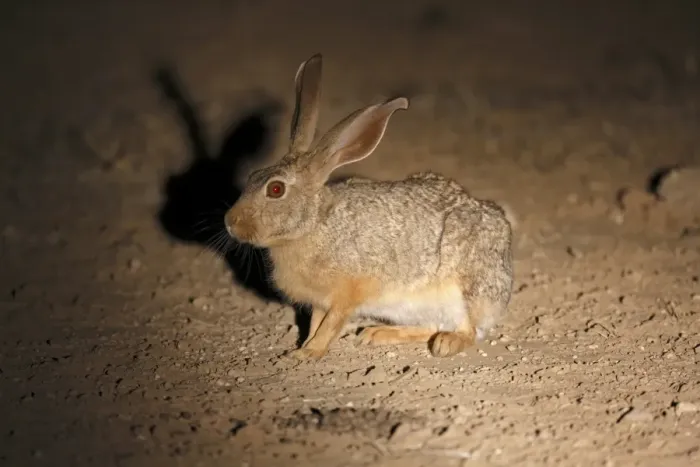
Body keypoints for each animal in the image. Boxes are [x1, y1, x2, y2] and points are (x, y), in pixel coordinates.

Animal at [224, 53, 514, 360]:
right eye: (252, 176)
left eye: (275, 189)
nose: (229, 223)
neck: (314, 226)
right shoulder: (320, 300)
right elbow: (316, 322)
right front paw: (304, 346)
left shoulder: (348, 293)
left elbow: (331, 325)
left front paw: (307, 353)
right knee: (428, 327)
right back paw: (377, 333)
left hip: (462, 293)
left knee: (469, 331)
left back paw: (445, 343)